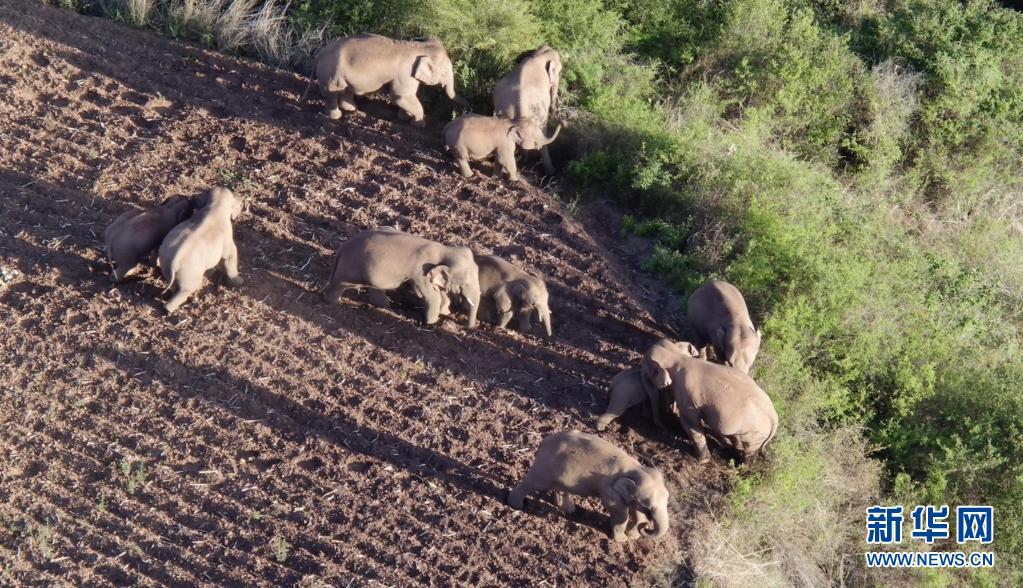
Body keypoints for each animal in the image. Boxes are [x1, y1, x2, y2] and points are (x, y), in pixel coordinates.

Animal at [155, 188, 243, 317]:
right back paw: (170, 310)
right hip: (189, 275)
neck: (215, 205)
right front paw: (238, 282)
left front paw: (211, 271)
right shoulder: (227, 238)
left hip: (165, 264)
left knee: (173, 285)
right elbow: (230, 257)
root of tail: (174, 262)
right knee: (186, 290)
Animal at [306, 34, 468, 125]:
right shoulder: (405, 73)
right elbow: (400, 96)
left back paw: (351, 109)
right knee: (332, 93)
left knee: (345, 89)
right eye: (445, 72)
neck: (419, 46)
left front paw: (403, 117)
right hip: (330, 74)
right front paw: (419, 124)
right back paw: (335, 116)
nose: (467, 109)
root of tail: (319, 54)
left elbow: (404, 97)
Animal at [319, 227, 478, 327]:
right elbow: (432, 297)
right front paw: (432, 324)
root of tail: (342, 247)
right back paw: (336, 303)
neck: (445, 249)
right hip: (349, 270)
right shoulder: (421, 272)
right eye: (465, 283)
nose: (466, 326)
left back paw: (385, 307)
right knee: (339, 285)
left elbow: (441, 295)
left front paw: (445, 313)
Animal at [509, 429, 671, 544]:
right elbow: (620, 513)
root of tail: (544, 440)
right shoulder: (610, 490)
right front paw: (622, 541)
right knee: (531, 484)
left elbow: (636, 512)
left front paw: (633, 536)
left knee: (560, 488)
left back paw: (569, 510)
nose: (647, 527)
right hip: (544, 468)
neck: (636, 468)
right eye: (648, 506)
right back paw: (517, 505)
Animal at [642, 337, 777, 462]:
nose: (663, 426)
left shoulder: (689, 399)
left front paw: (702, 460)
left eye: (646, 372)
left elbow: (691, 424)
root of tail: (774, 417)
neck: (677, 356)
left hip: (753, 434)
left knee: (747, 448)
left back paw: (740, 461)